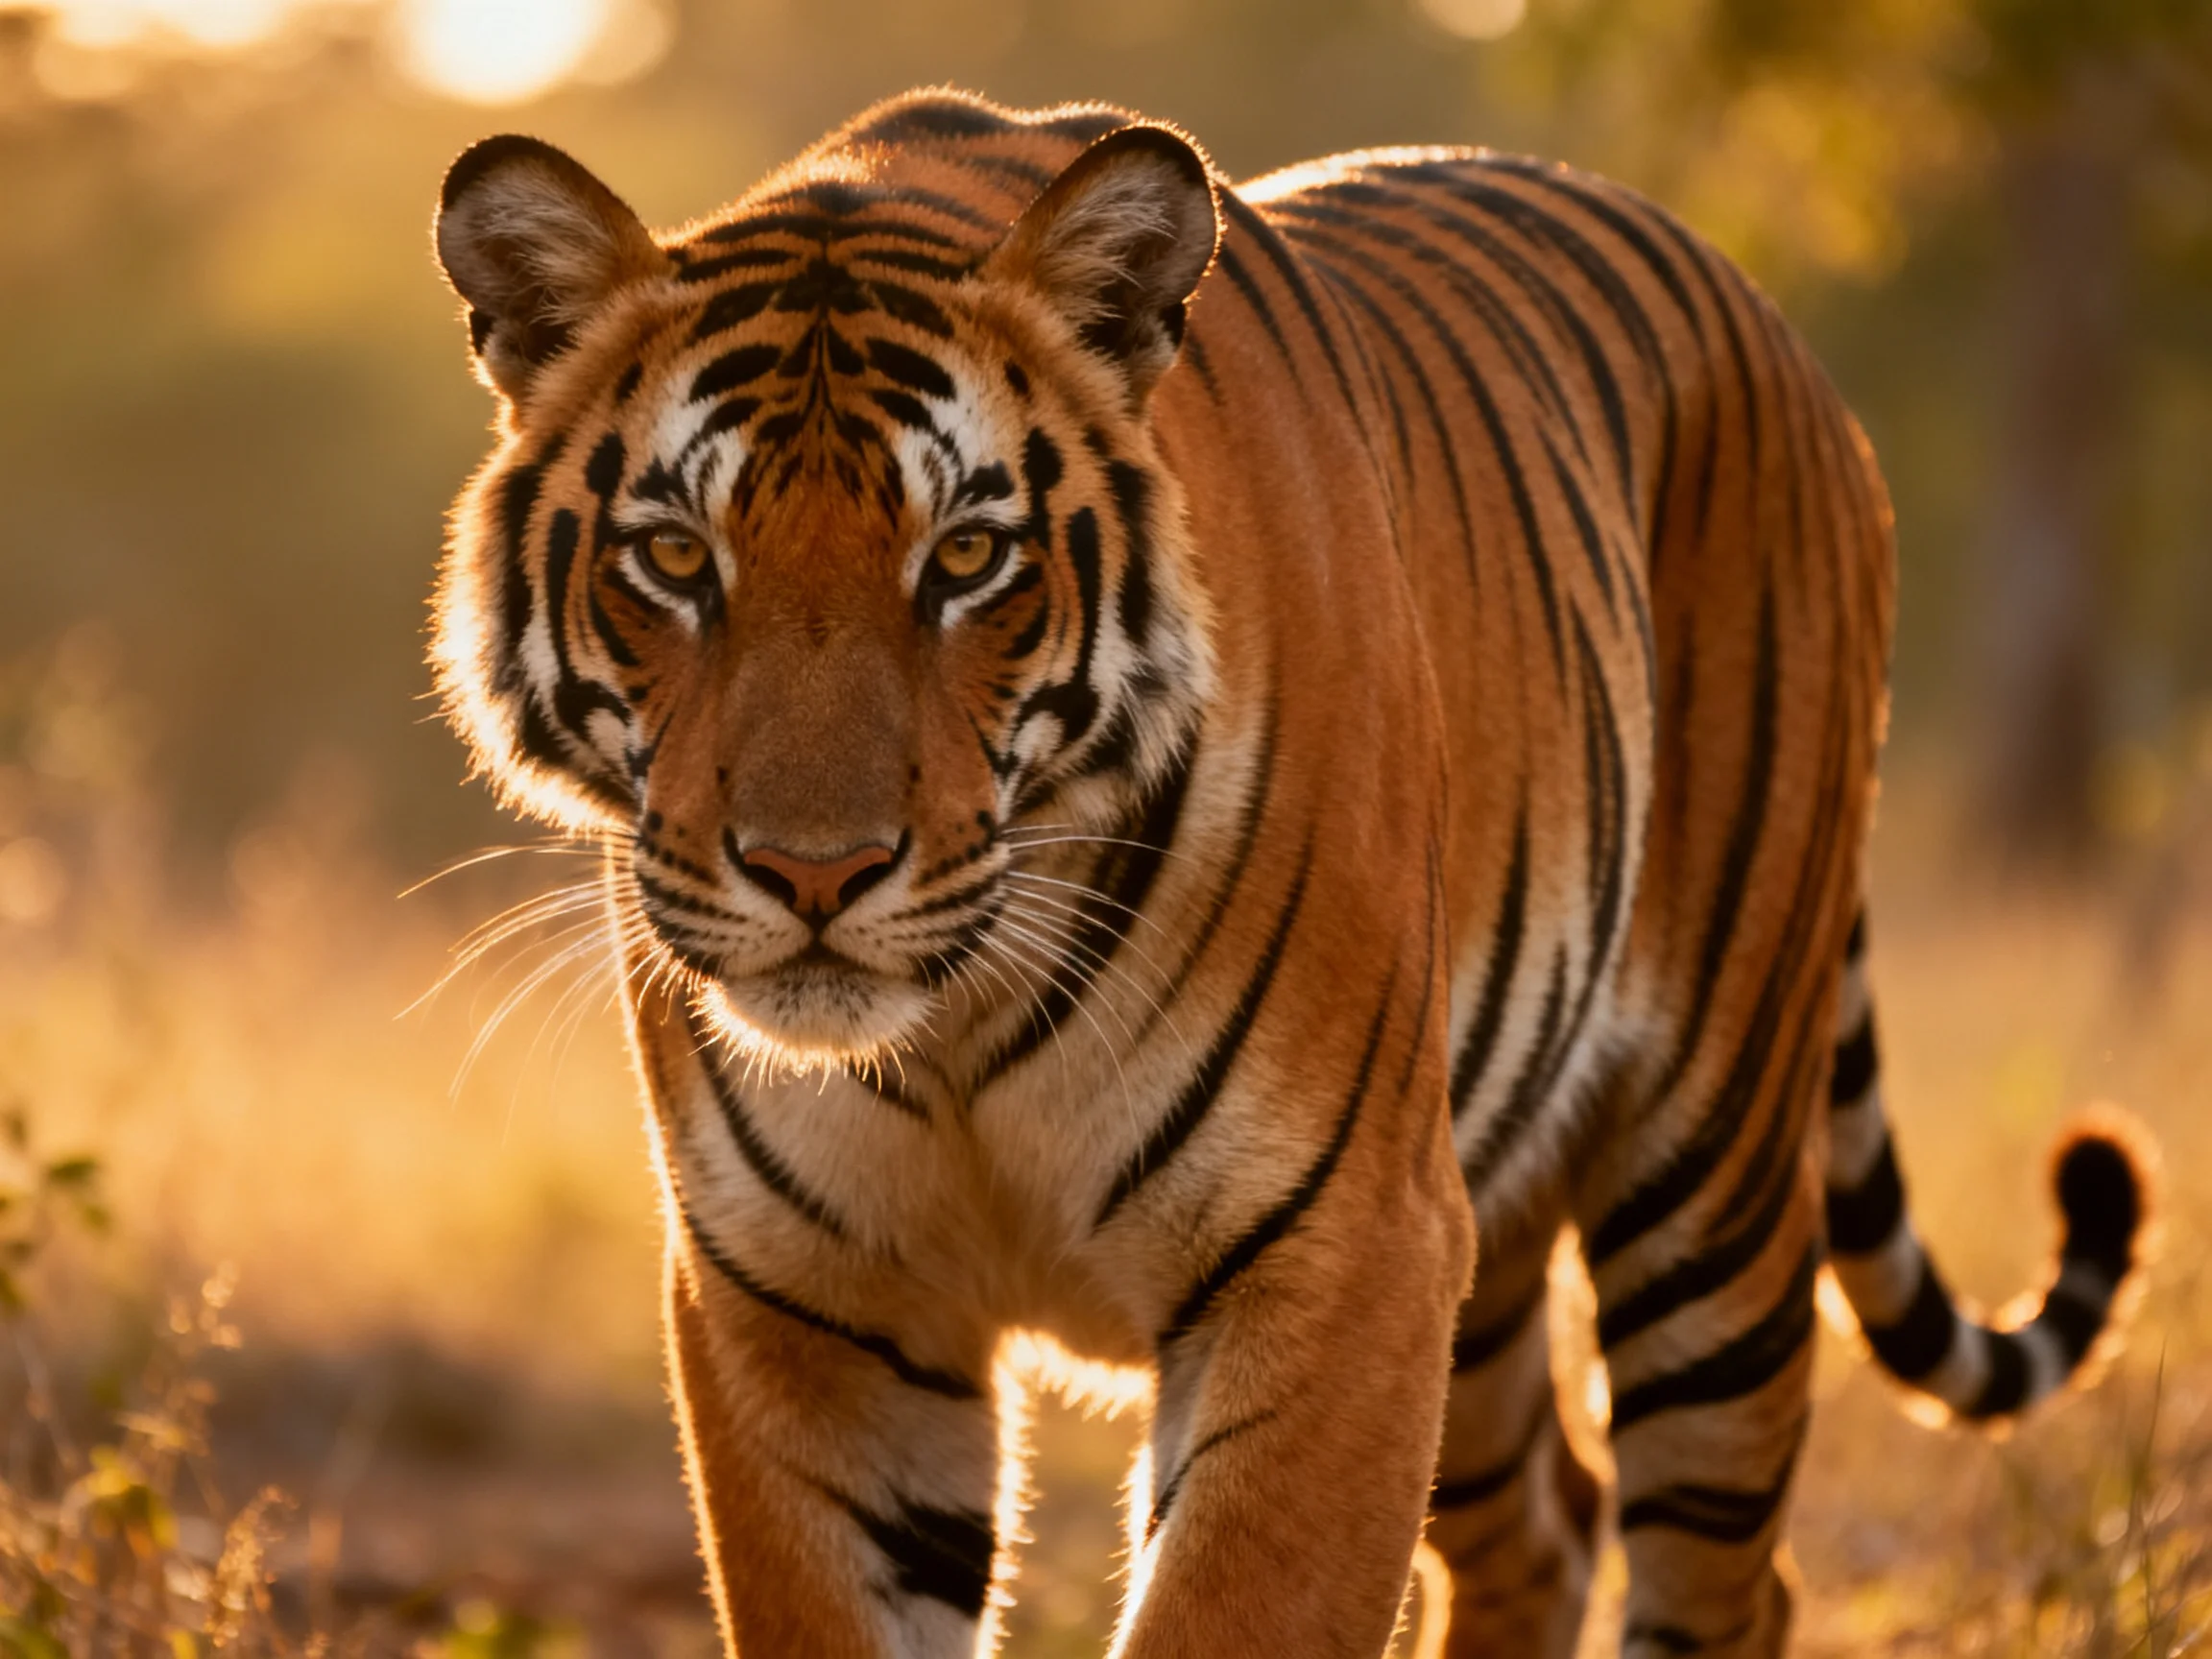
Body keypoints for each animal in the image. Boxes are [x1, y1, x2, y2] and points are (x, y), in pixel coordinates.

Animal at [428, 88, 2152, 1658]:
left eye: (967, 558)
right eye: (674, 558)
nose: (815, 870)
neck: (956, 1027)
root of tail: (1764, 315)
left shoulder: (1341, 1257)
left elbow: (1241, 1607)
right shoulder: (804, 1306)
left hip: (1707, 1172)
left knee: (1721, 1570)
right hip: (1483, 1238)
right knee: (1544, 1522)